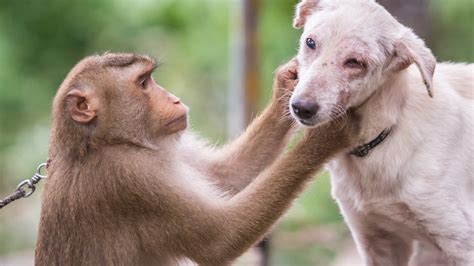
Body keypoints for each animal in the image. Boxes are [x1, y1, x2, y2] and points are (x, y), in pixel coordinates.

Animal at [36, 53, 356, 264]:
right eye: (143, 83)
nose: (174, 98)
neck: (100, 142)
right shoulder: (129, 178)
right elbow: (221, 239)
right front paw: (326, 139)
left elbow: (226, 175)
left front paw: (286, 85)